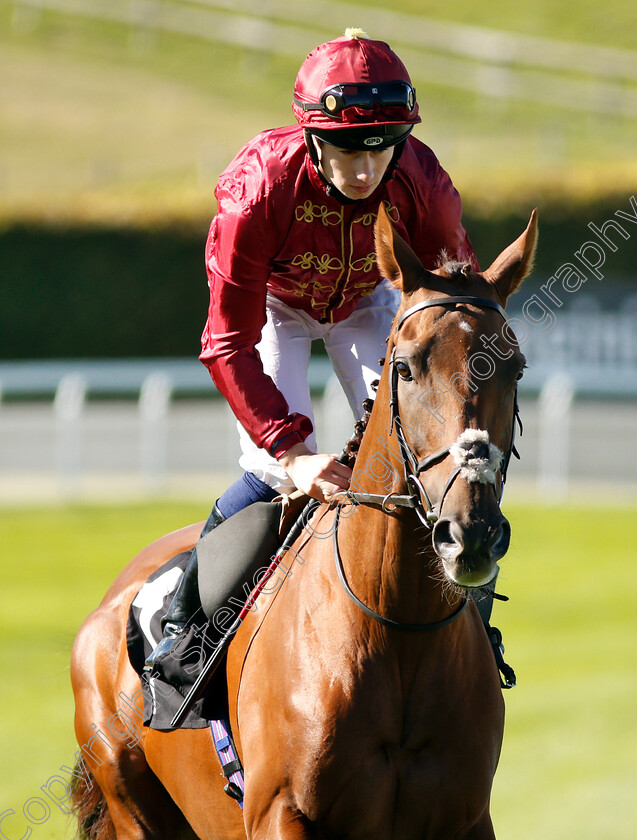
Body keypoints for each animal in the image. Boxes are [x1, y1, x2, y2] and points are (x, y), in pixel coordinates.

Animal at [71, 205, 536, 840]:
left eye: (515, 368)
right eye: (405, 367)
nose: (470, 532)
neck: (397, 626)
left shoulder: (465, 818)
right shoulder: (280, 811)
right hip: (131, 804)